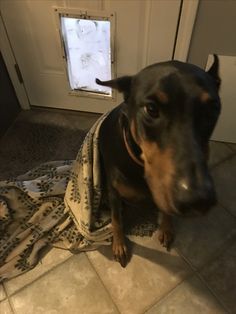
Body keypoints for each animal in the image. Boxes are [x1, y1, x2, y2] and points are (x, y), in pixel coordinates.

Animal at [96, 55, 221, 268]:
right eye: (151, 109)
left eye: (212, 109)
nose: (199, 200)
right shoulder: (114, 191)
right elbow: (116, 219)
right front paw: (119, 245)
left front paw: (166, 227)